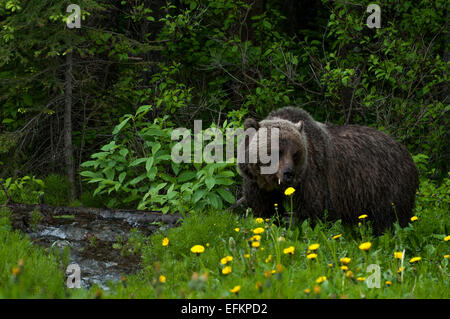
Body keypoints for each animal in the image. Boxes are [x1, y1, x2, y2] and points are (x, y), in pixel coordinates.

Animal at [237, 106, 420, 234]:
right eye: (276, 151)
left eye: (295, 153)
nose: (289, 173)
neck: (273, 183)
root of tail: (406, 152)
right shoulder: (257, 184)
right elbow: (262, 209)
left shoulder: (311, 179)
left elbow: (314, 211)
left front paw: (292, 221)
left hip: (386, 185)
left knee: (390, 218)